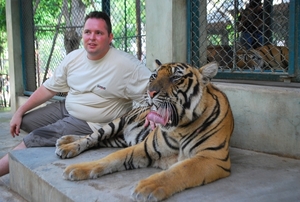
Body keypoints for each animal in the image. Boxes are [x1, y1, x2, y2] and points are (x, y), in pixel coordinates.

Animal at [55, 60, 234, 202]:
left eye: (176, 78)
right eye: (153, 76)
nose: (150, 92)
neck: (179, 128)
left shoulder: (212, 157)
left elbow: (180, 169)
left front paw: (148, 186)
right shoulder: (144, 147)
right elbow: (110, 159)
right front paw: (77, 168)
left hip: (117, 139)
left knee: (98, 141)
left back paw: (64, 141)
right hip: (116, 124)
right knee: (91, 137)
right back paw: (66, 145)